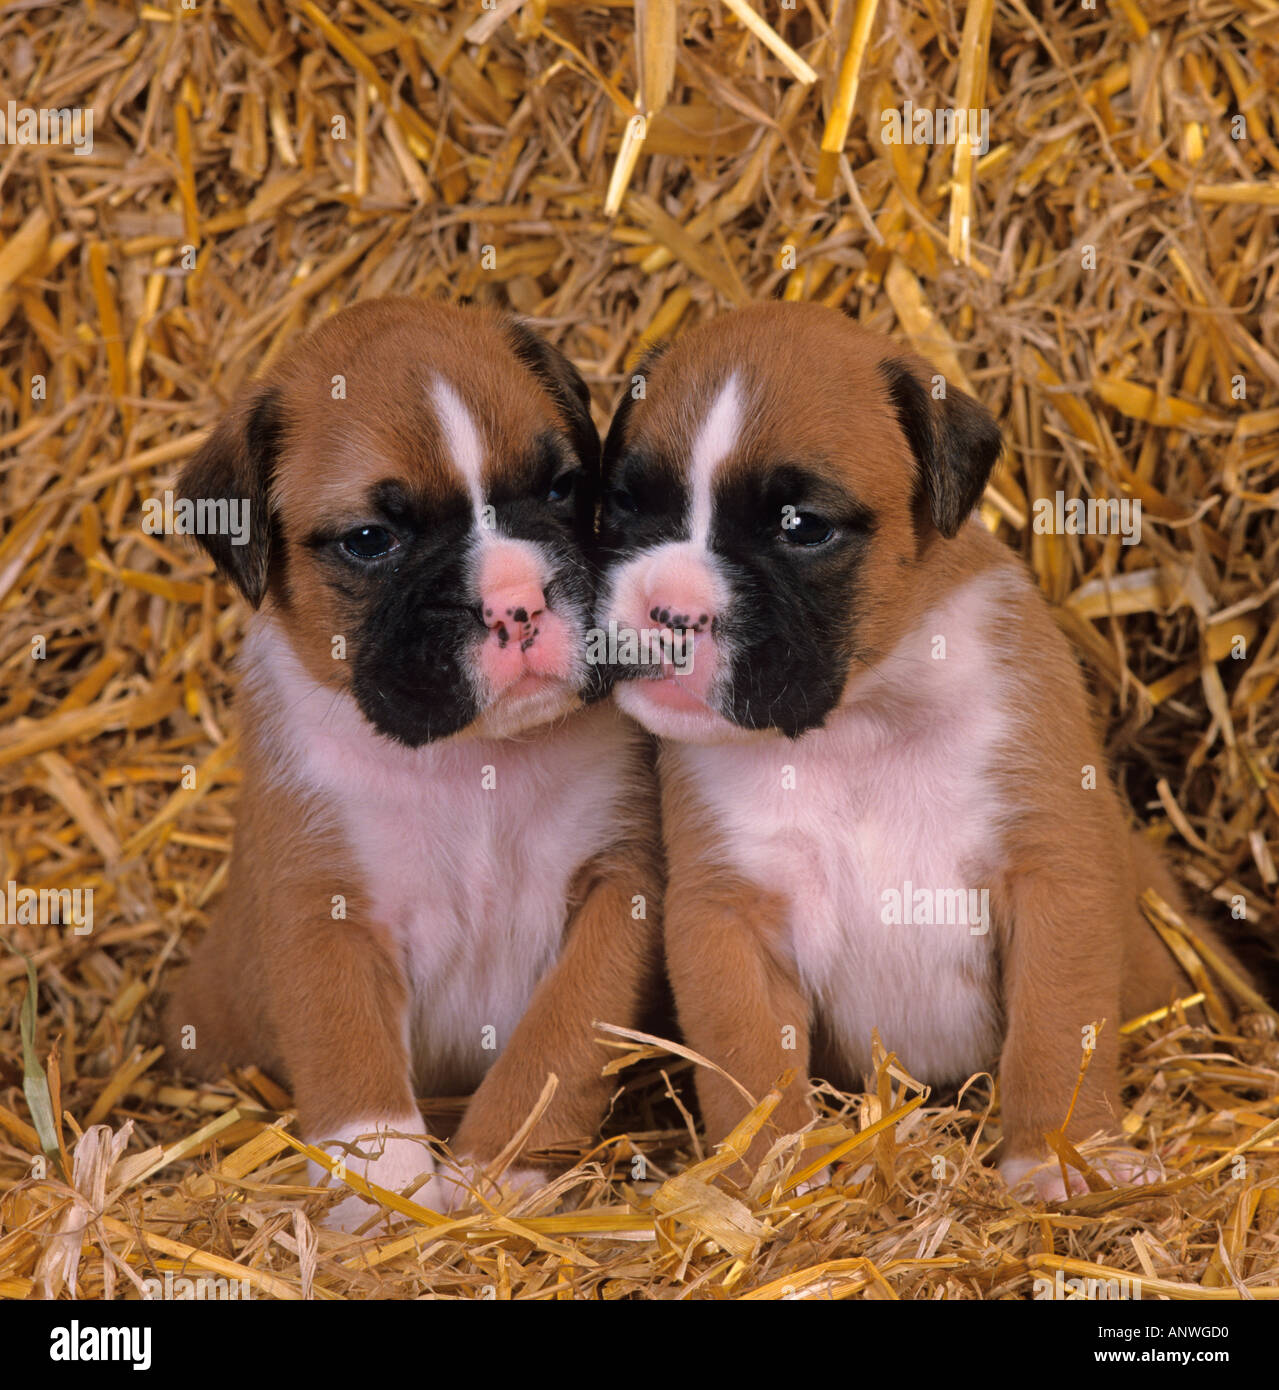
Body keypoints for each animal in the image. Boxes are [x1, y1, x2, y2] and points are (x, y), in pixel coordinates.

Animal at [164, 301, 664, 1228]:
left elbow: (565, 1032)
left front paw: (503, 1165)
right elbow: (353, 1065)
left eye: (560, 488)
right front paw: (386, 1193)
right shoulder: (321, 915)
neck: (471, 765)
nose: (518, 603)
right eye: (370, 540)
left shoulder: (622, 888)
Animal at [600, 301, 1251, 1195]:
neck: (862, 717)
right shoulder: (728, 918)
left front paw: (1057, 1156)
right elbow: (748, 1065)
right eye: (626, 504)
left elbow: (1055, 1029)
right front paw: (770, 1179)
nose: (668, 608)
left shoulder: (1051, 878)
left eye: (800, 527)